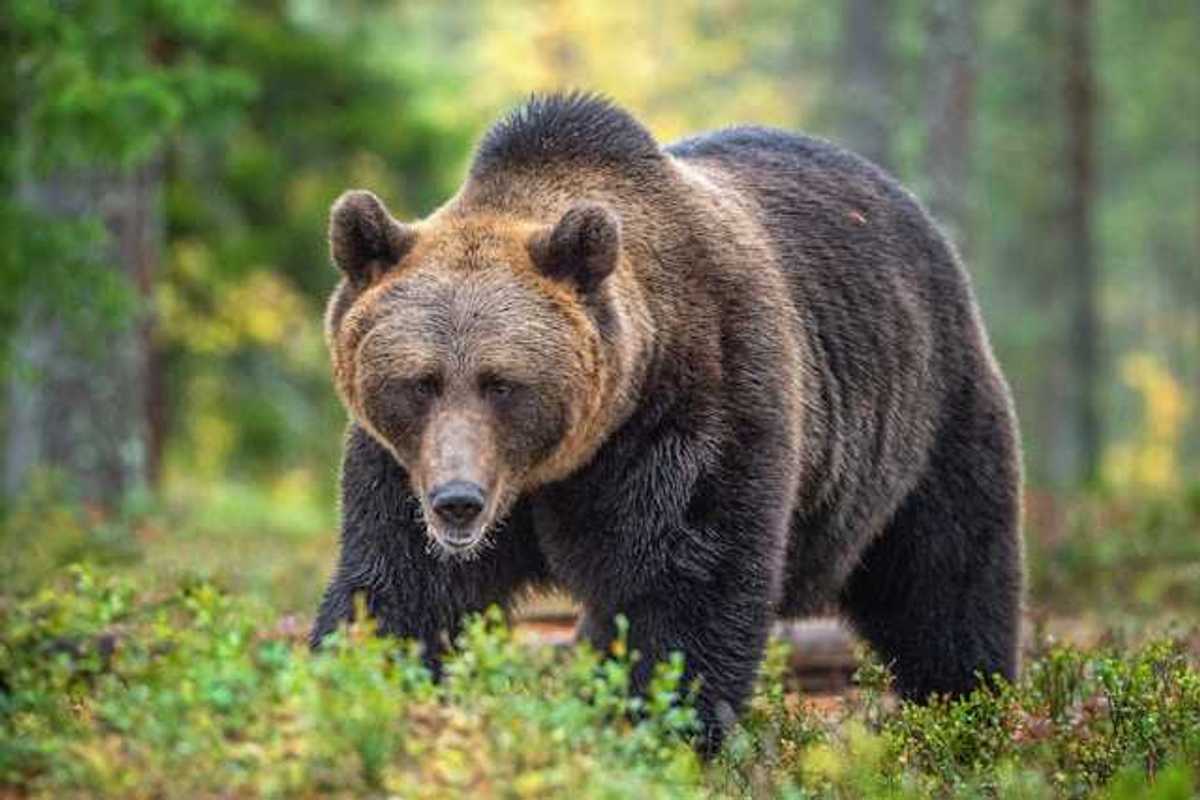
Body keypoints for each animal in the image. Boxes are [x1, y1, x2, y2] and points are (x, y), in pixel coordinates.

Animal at [310, 92, 1023, 753]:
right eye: (420, 382)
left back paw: (967, 707)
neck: (557, 465)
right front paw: (356, 689)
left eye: (502, 383)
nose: (458, 501)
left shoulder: (694, 410)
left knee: (946, 579)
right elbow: (398, 588)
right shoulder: (399, 465)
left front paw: (660, 726)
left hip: (927, 419)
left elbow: (685, 585)